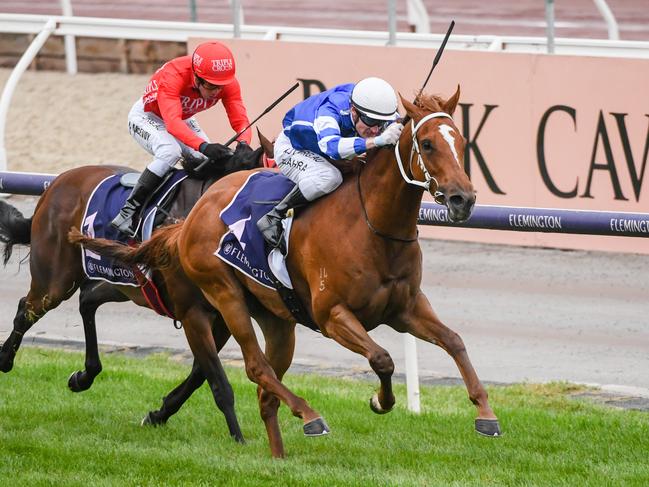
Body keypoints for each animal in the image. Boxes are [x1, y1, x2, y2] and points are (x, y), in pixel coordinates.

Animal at [0, 143, 270, 444]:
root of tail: (55, 184)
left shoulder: (223, 314)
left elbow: (200, 373)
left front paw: (159, 413)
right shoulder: (192, 313)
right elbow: (217, 379)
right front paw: (239, 438)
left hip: (123, 282)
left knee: (86, 300)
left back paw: (84, 375)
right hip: (56, 279)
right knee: (27, 310)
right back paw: (5, 360)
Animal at [72, 86, 502, 458]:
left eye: (460, 141)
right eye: (427, 144)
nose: (463, 199)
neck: (372, 225)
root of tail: (190, 216)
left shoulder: (405, 308)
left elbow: (454, 341)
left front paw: (486, 415)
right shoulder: (332, 315)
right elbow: (382, 359)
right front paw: (380, 400)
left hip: (278, 320)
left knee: (266, 392)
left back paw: (278, 456)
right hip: (224, 297)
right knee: (255, 368)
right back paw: (309, 415)